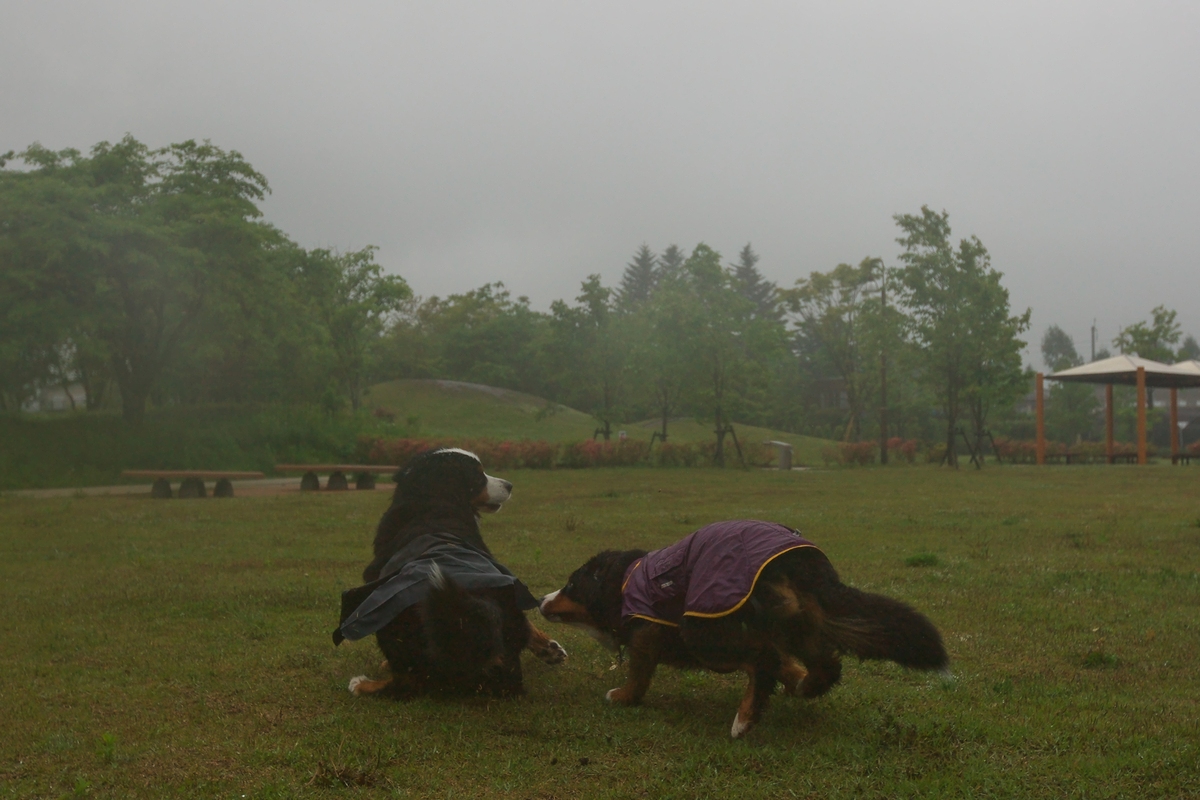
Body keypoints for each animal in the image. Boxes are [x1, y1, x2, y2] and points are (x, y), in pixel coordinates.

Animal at [333, 448, 566, 695]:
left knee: (407, 682)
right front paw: (548, 648)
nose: (510, 485)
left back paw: (363, 684)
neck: (433, 503)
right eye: (478, 476)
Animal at [542, 520, 945, 738]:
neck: (625, 583)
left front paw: (623, 697)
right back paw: (807, 686)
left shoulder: (648, 635)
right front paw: (796, 681)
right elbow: (787, 665)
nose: (543, 599)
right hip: (797, 622)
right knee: (825, 664)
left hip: (702, 630)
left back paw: (744, 719)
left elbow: (639, 675)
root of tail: (798, 561)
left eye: (571, 585)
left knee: (761, 662)